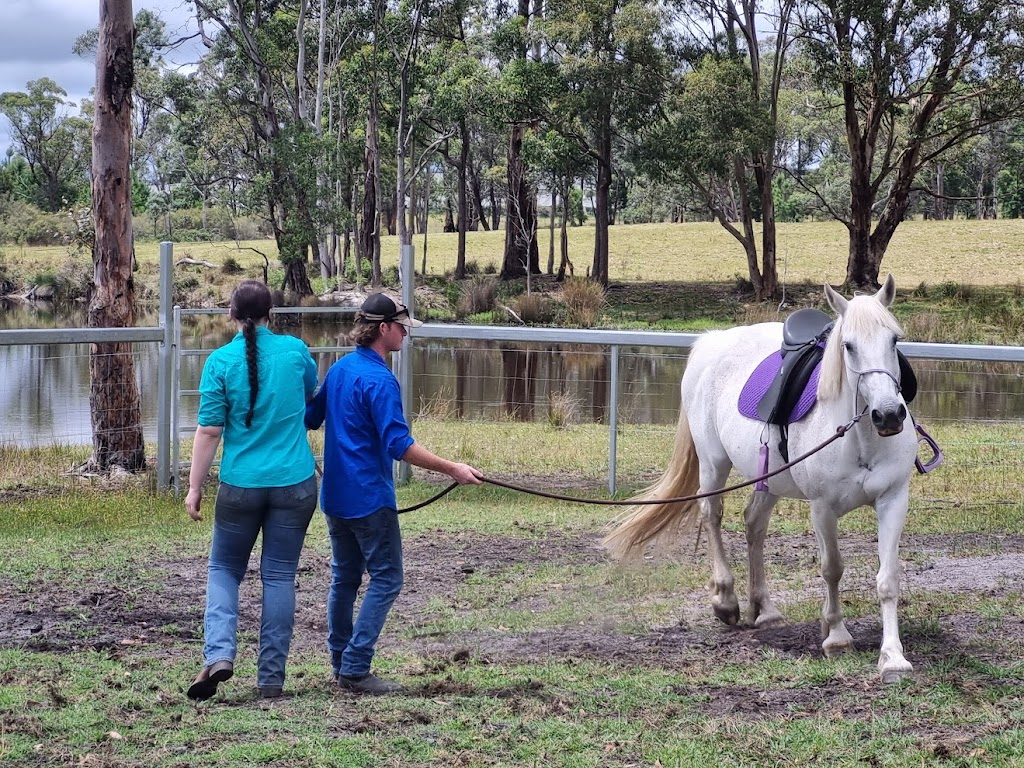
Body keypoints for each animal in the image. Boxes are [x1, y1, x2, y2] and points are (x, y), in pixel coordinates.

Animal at [604, 276, 919, 683]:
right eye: (848, 346)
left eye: (894, 340)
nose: (889, 414)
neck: (859, 437)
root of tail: (712, 341)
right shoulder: (822, 509)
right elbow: (832, 569)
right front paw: (836, 635)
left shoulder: (893, 500)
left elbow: (888, 579)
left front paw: (893, 657)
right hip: (713, 465)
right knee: (712, 515)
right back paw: (725, 599)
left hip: (768, 478)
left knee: (753, 524)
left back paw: (764, 609)